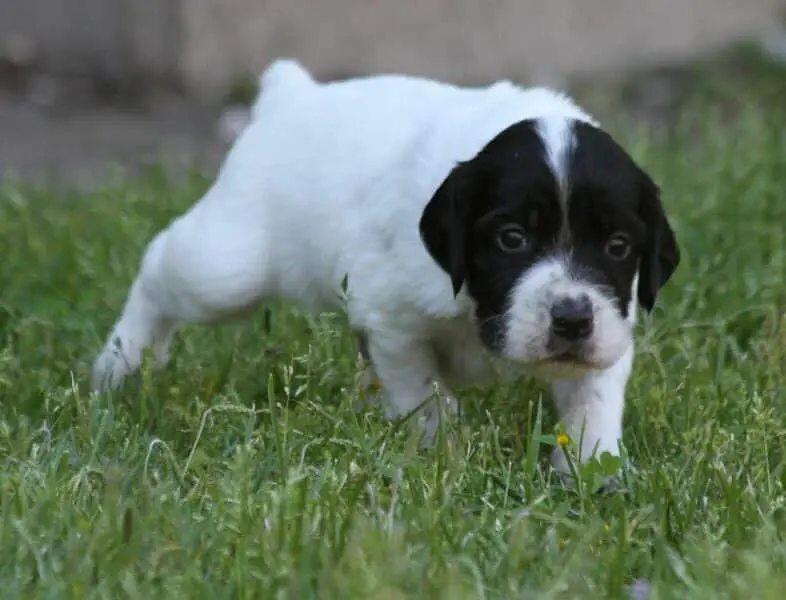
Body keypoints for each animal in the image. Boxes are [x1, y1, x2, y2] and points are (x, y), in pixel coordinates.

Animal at [92, 59, 679, 472]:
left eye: (619, 246)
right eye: (512, 239)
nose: (572, 320)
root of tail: (291, 95)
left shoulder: (611, 322)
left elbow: (593, 398)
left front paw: (593, 466)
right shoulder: (391, 318)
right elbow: (425, 395)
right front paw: (446, 453)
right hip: (228, 266)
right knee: (160, 267)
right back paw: (120, 364)